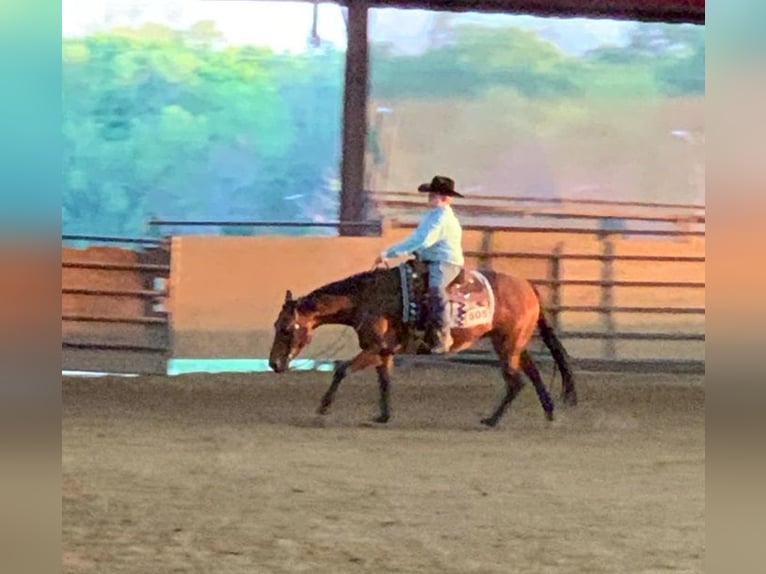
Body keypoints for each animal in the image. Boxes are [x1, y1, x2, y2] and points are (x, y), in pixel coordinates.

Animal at [270, 260, 576, 428]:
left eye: (286, 328)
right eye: (275, 326)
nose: (274, 363)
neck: (368, 298)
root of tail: (528, 286)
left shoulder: (374, 349)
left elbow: (342, 369)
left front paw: (323, 410)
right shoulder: (384, 352)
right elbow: (385, 381)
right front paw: (383, 415)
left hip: (507, 346)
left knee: (516, 382)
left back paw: (491, 420)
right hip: (514, 344)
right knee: (532, 374)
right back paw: (549, 414)